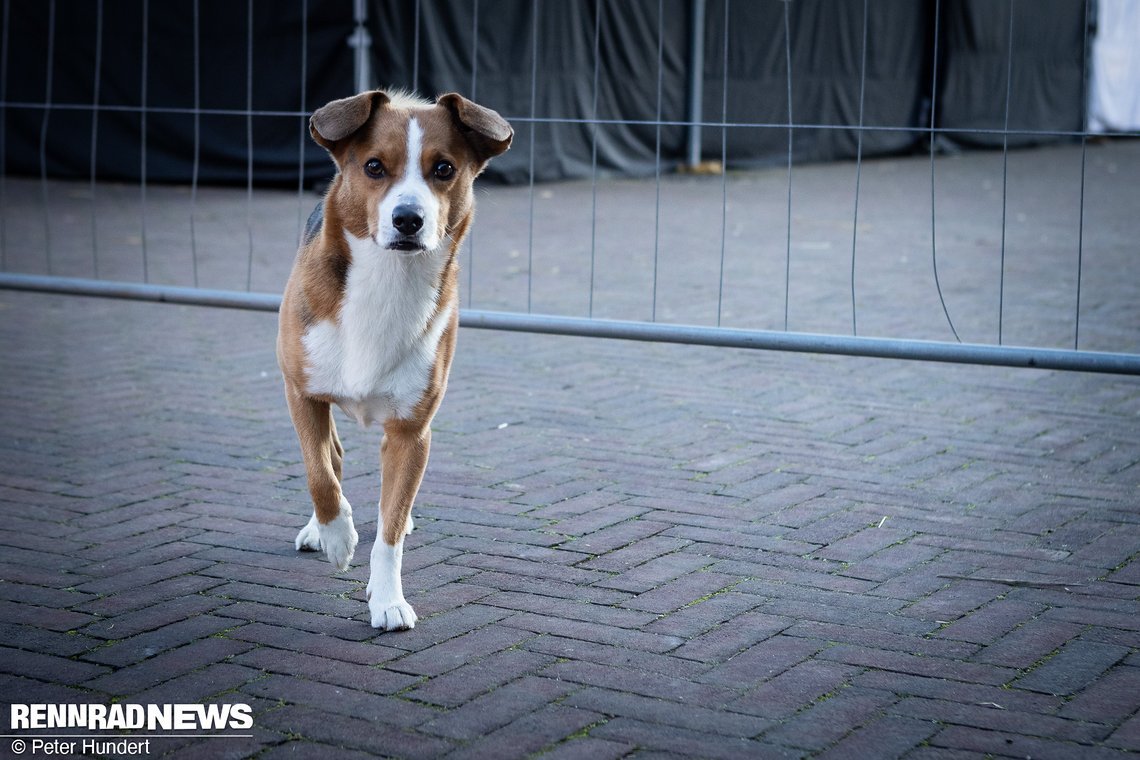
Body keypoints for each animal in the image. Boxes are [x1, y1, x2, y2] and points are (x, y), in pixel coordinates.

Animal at [275, 89, 513, 628]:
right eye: (374, 167)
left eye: (443, 168)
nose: (408, 219)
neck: (388, 278)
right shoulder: (301, 393)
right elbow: (319, 472)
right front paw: (337, 536)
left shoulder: (411, 432)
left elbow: (389, 529)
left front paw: (386, 599)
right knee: (331, 457)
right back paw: (323, 530)